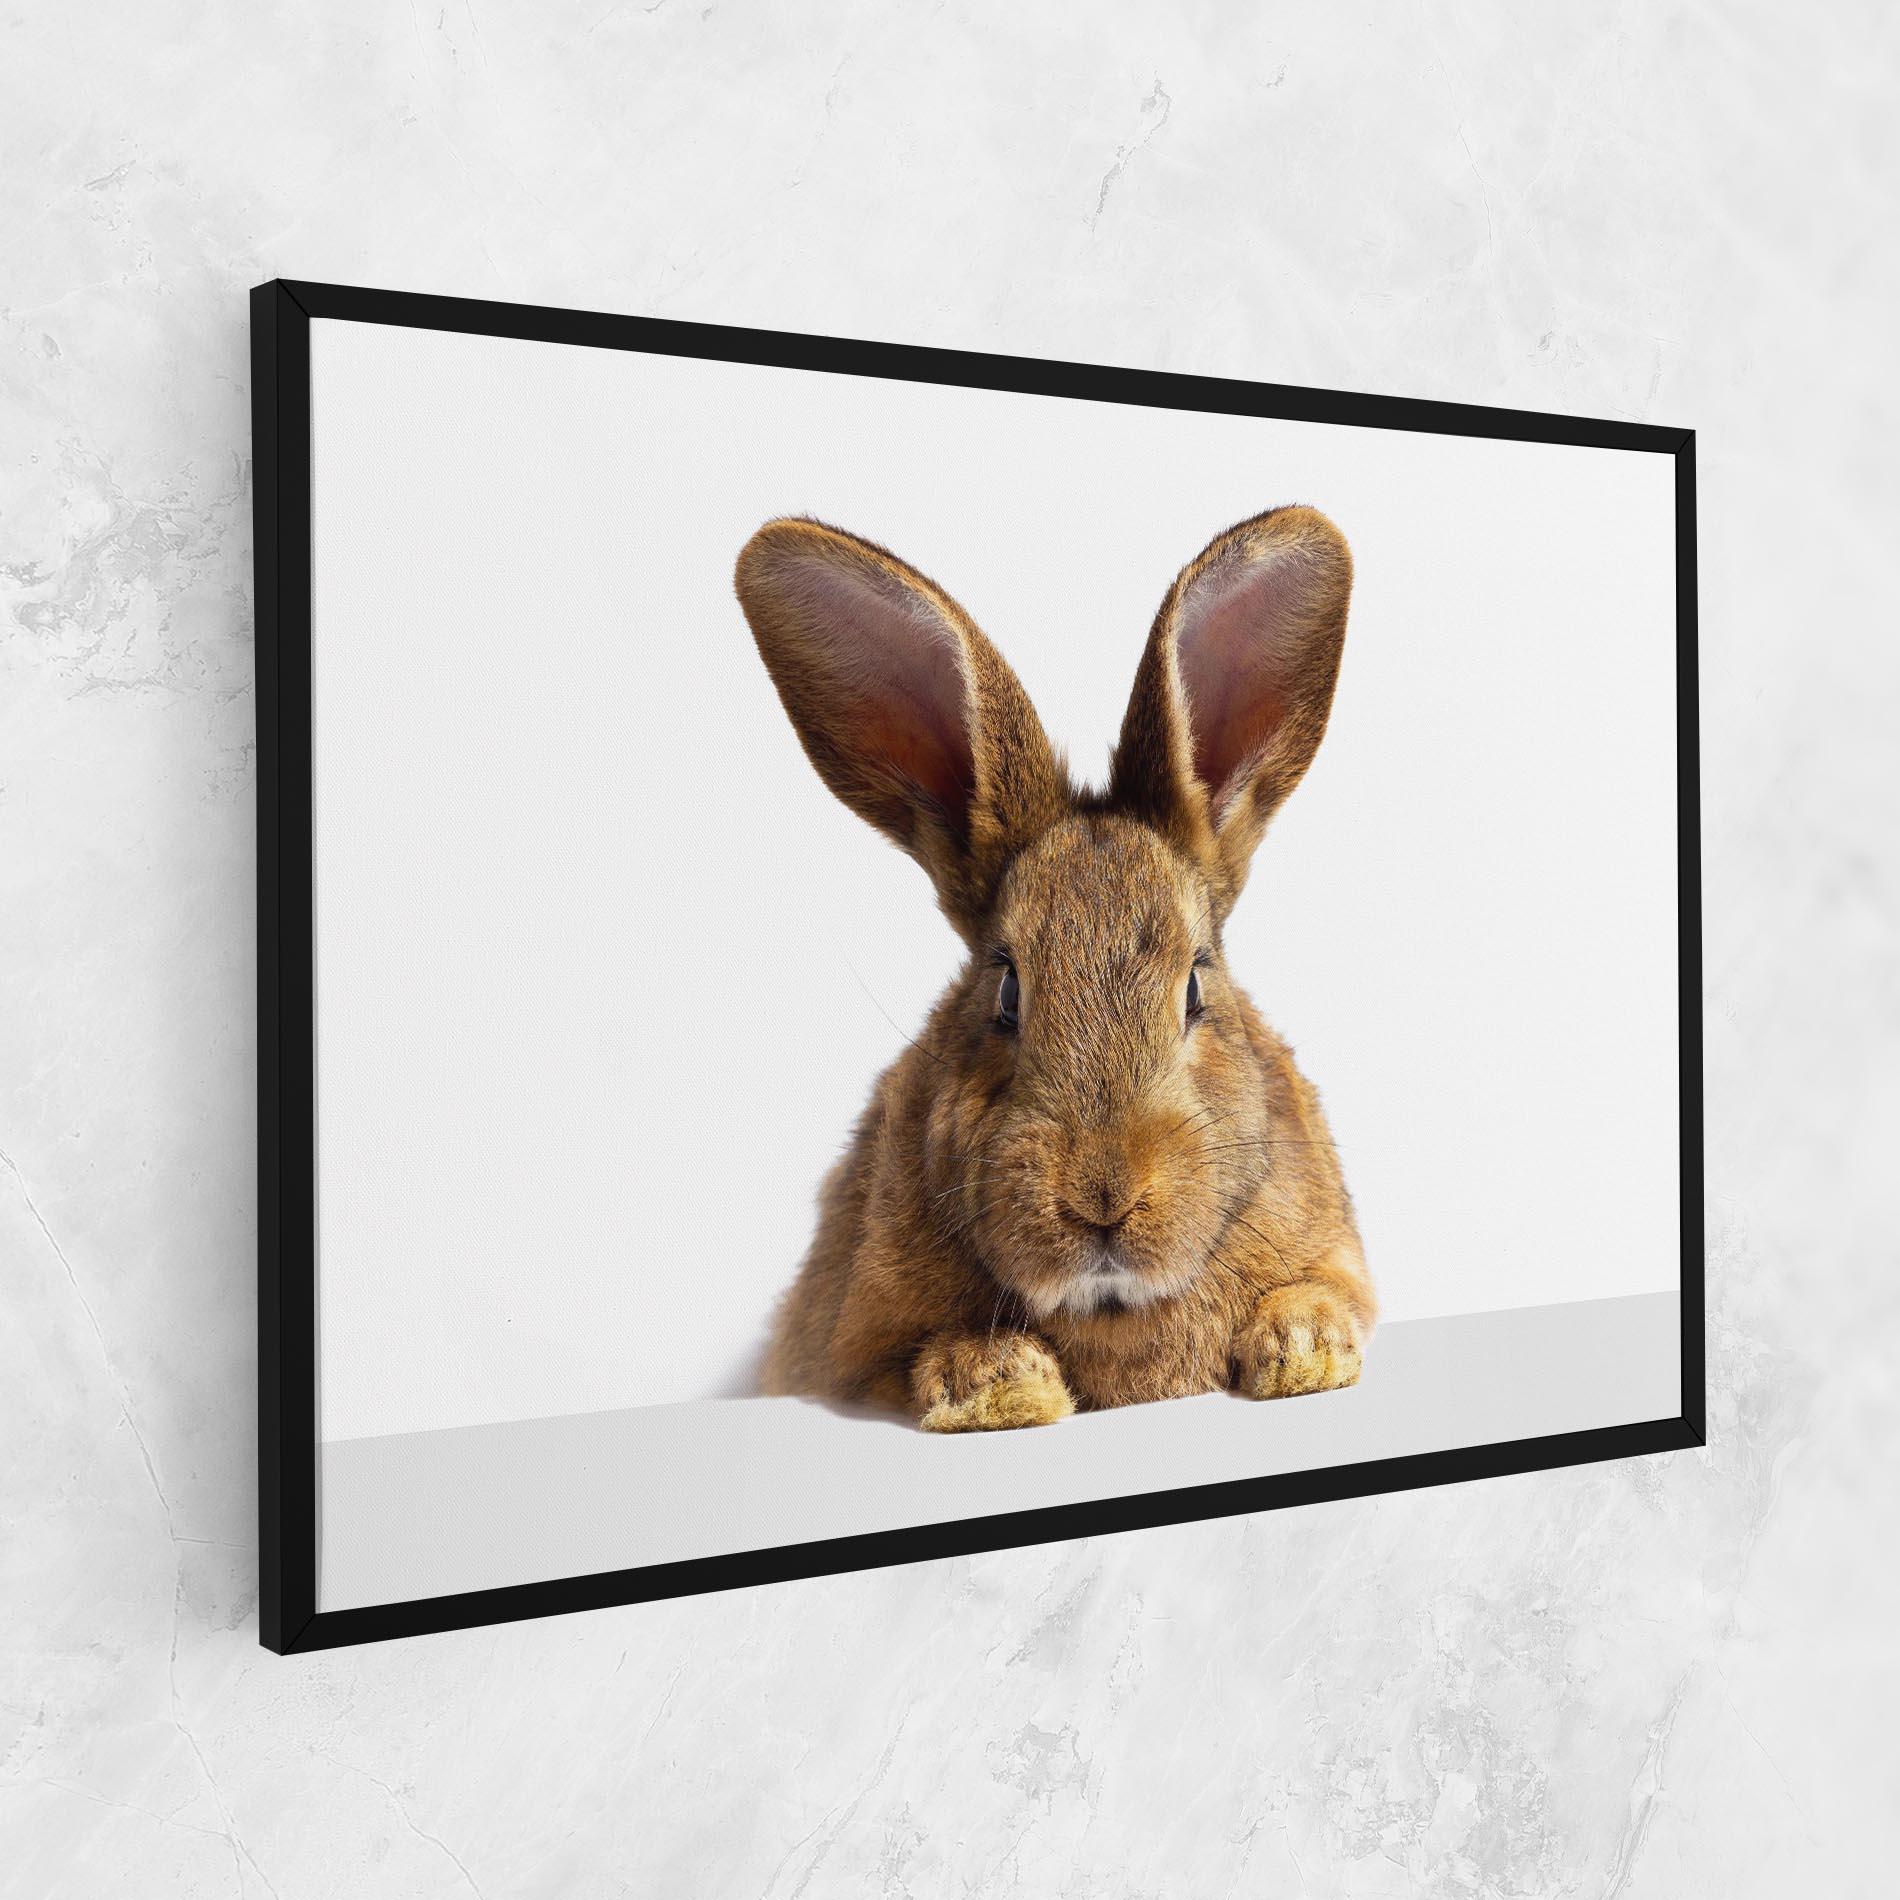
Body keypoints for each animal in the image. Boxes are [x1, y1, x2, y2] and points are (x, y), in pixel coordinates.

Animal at [733, 505, 1374, 1431]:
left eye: (1195, 986)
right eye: (1005, 989)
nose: (1102, 1198)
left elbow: (1321, 1296)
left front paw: (1303, 1349)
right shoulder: (847, 1357)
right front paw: (999, 1383)